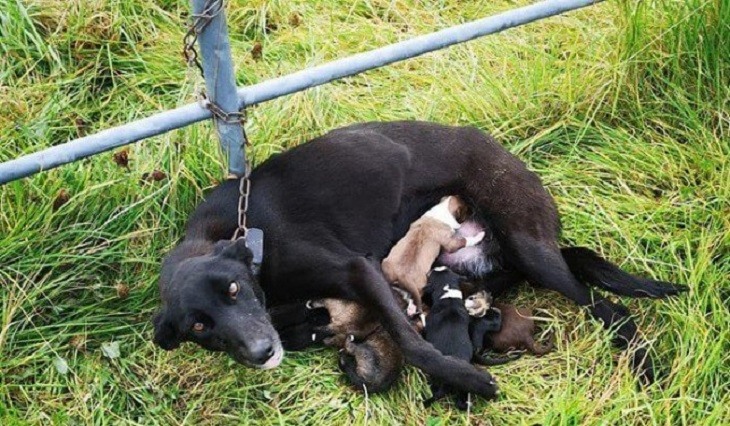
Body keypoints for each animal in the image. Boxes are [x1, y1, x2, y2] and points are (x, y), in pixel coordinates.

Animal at [151, 120, 684, 396]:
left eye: (234, 289)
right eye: (199, 326)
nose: (263, 353)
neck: (243, 237)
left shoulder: (358, 269)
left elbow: (410, 342)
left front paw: (465, 377)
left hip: (531, 247)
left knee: (609, 308)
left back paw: (643, 366)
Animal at [420, 268, 472, 412]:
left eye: (430, 275)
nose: (433, 267)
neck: (449, 296)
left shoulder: (428, 325)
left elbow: (424, 319)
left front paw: (420, 314)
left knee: (435, 393)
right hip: (462, 388)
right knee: (459, 402)